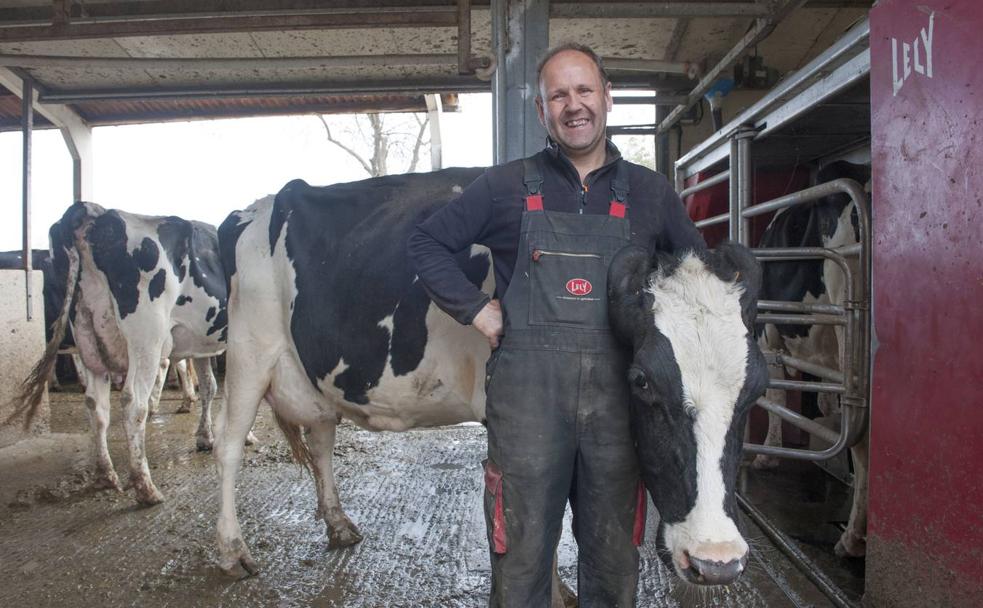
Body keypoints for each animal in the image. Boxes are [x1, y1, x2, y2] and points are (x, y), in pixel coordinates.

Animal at [9, 202, 234, 506]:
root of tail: (91, 212)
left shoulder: (202, 344)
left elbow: (210, 387)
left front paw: (206, 438)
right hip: (146, 338)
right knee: (133, 403)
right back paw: (145, 487)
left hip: (88, 335)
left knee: (95, 404)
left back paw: (106, 475)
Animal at [213, 167, 768, 592]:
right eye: (642, 382)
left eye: (757, 390)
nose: (717, 559)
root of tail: (262, 203)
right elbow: (537, 518)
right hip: (246, 351)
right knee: (230, 447)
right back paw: (232, 549)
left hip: (313, 370)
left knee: (322, 438)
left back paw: (338, 524)